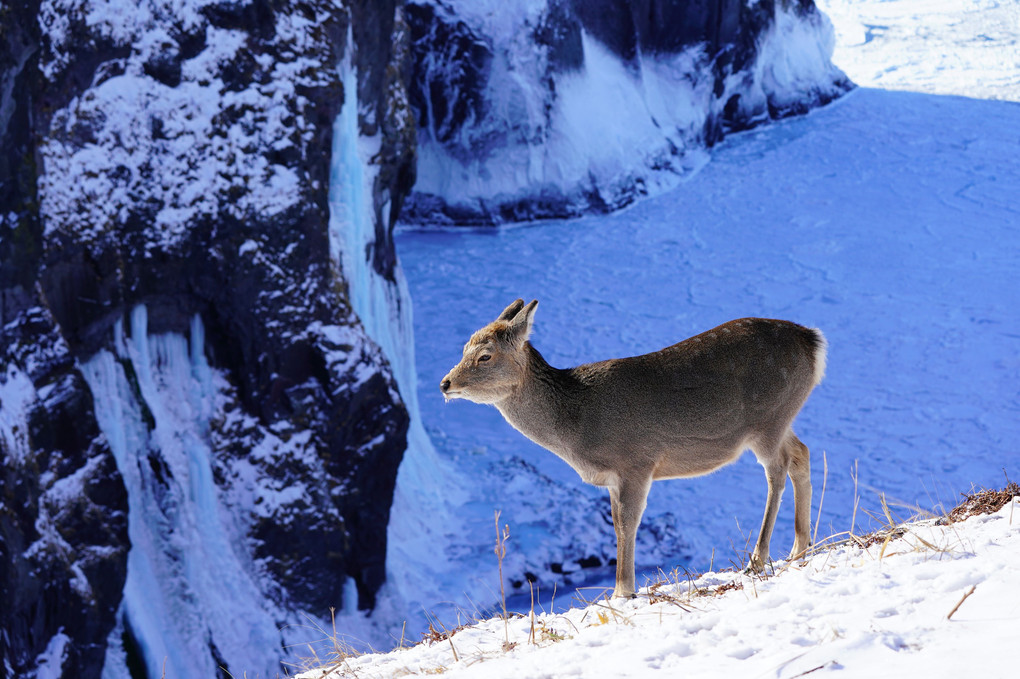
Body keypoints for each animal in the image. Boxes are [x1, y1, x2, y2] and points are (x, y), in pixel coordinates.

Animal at [442, 299, 824, 595]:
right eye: (463, 349)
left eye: (485, 356)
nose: (445, 383)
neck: (577, 427)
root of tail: (813, 341)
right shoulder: (613, 478)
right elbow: (616, 524)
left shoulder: (636, 462)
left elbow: (628, 522)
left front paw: (622, 591)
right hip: (783, 418)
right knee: (801, 454)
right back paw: (798, 547)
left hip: (768, 419)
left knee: (776, 471)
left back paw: (758, 559)